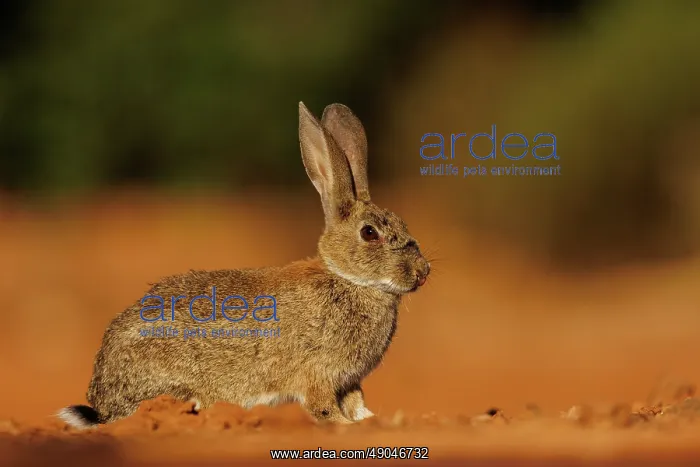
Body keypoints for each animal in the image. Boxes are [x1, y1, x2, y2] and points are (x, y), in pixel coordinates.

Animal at [57, 102, 431, 428]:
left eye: (402, 222)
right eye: (369, 233)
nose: (422, 272)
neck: (348, 280)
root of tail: (101, 404)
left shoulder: (349, 380)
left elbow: (357, 402)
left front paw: (372, 421)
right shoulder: (317, 374)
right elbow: (323, 407)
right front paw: (343, 425)